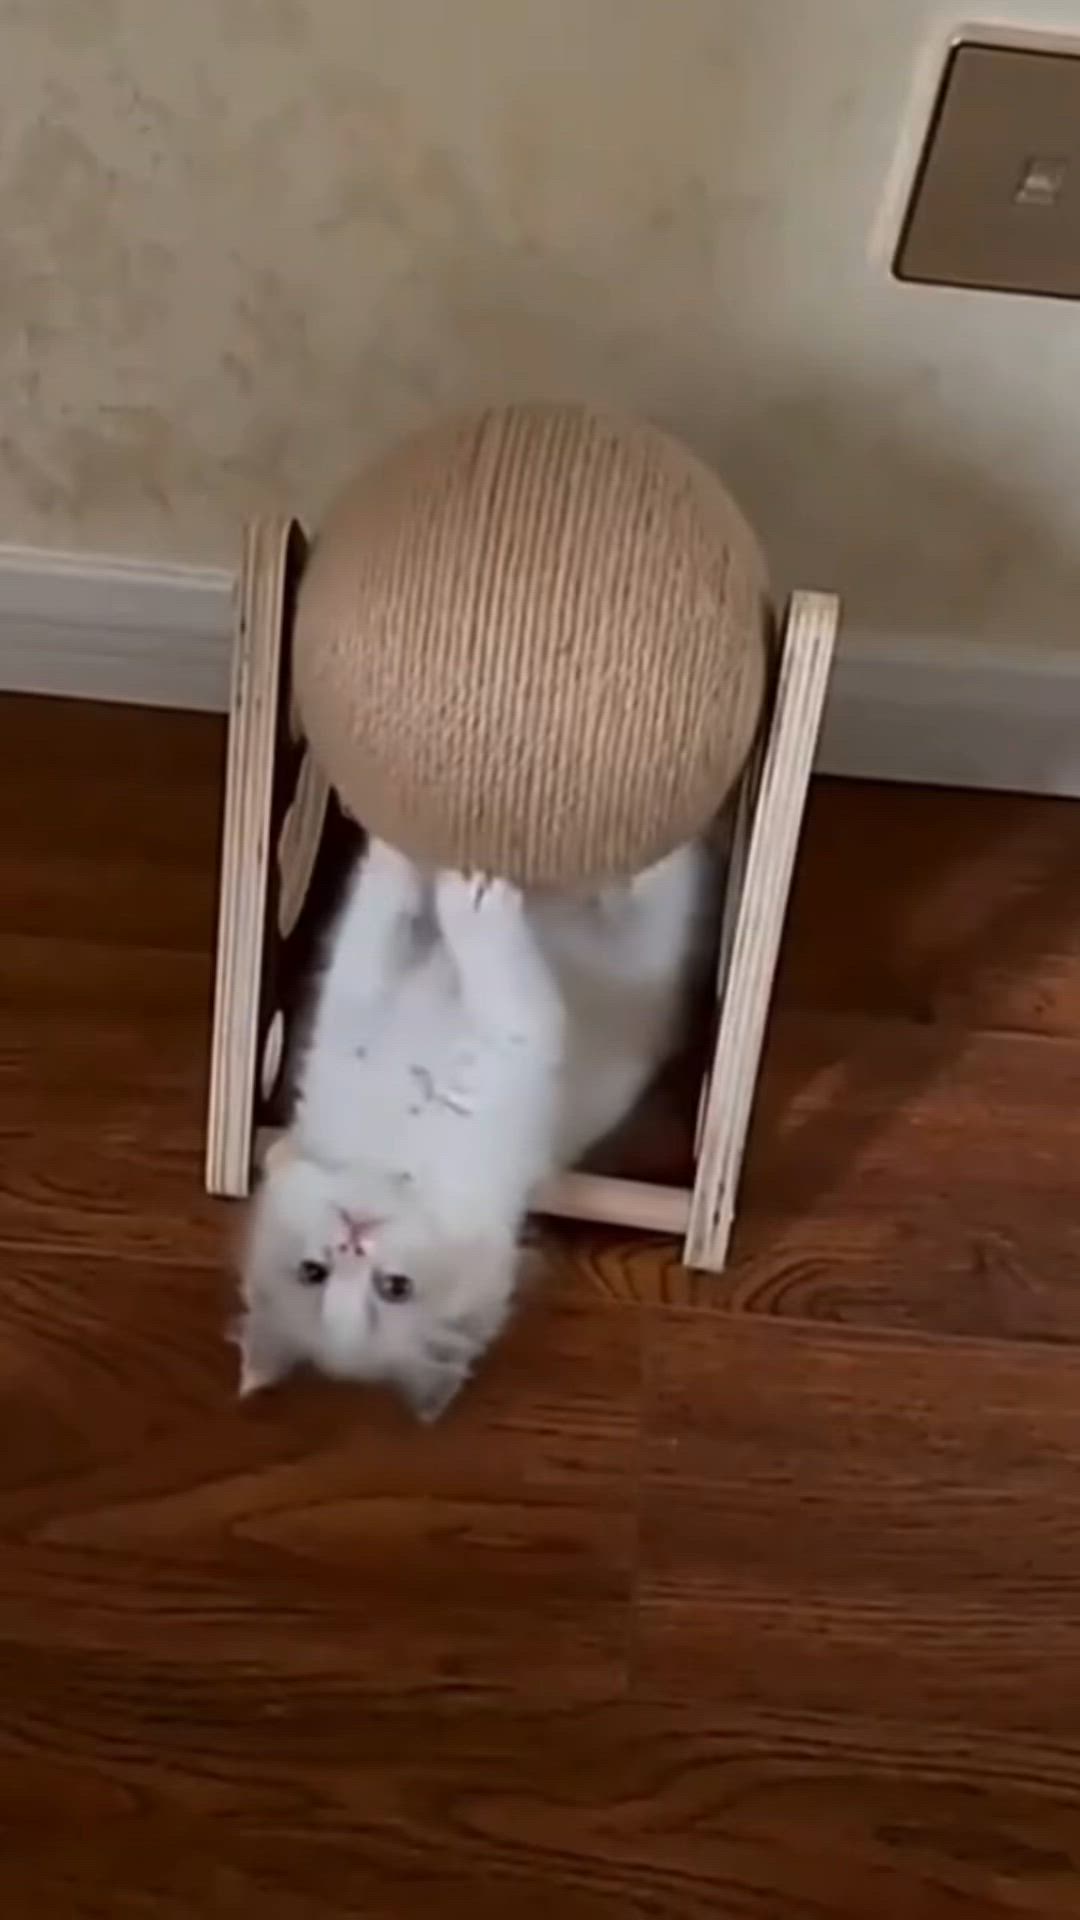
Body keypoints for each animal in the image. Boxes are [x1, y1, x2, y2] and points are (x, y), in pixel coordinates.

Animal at [234, 833, 707, 1420]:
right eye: (315, 1274)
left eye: (394, 1286)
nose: (353, 1238)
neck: (389, 1157)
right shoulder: (502, 1034)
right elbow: (421, 941)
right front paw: (453, 888)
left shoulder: (391, 1011)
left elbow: (380, 920)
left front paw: (403, 855)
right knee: (658, 900)